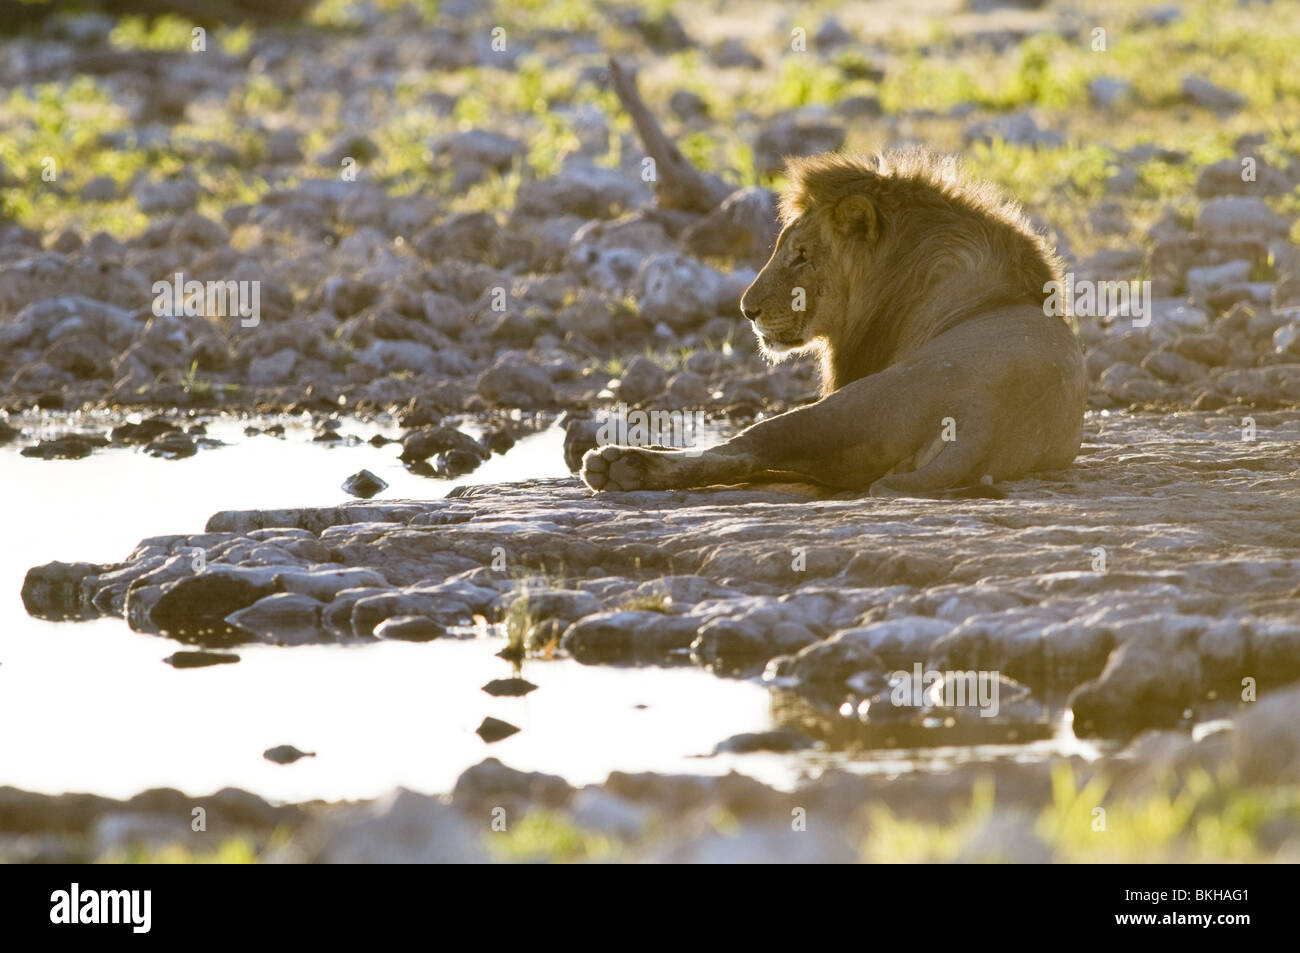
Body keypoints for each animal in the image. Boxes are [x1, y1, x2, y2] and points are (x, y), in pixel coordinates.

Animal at [582, 148, 1086, 499]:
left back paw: (620, 464)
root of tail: (978, 415)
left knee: (745, 449)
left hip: (847, 409)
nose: (747, 310)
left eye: (802, 255)